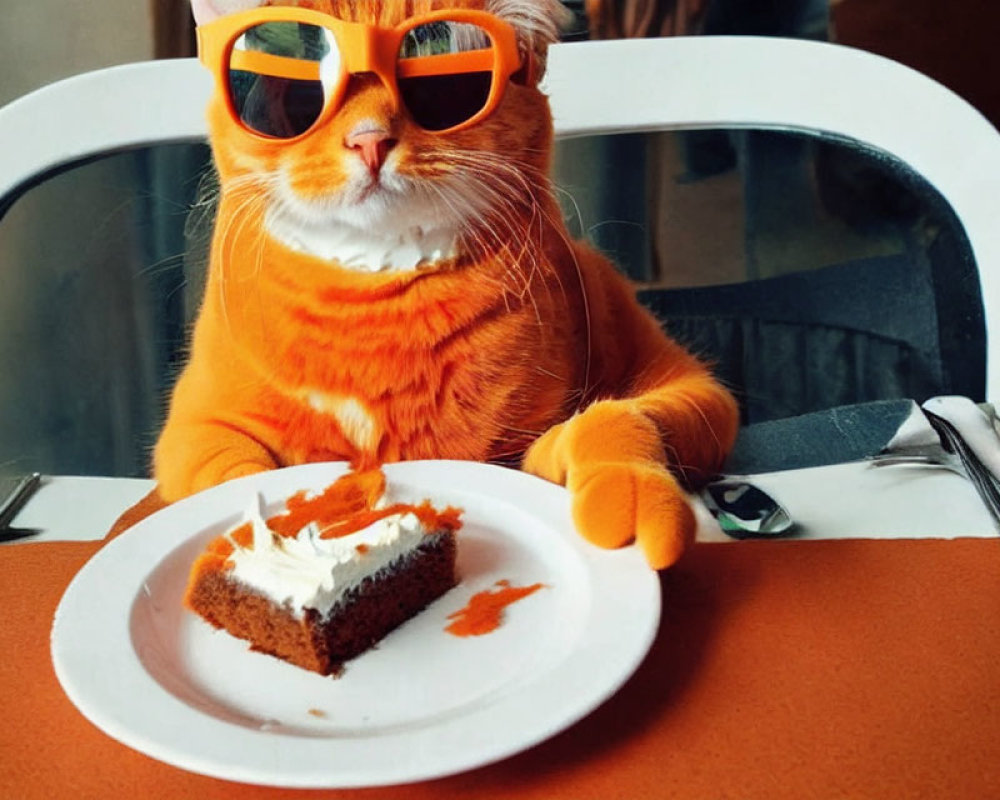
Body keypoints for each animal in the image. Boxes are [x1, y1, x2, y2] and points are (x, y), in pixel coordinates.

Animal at [154, 0, 736, 568]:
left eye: (437, 74)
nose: (369, 138)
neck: (375, 304)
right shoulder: (194, 431)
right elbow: (239, 475)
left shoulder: (696, 393)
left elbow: (616, 419)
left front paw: (619, 490)